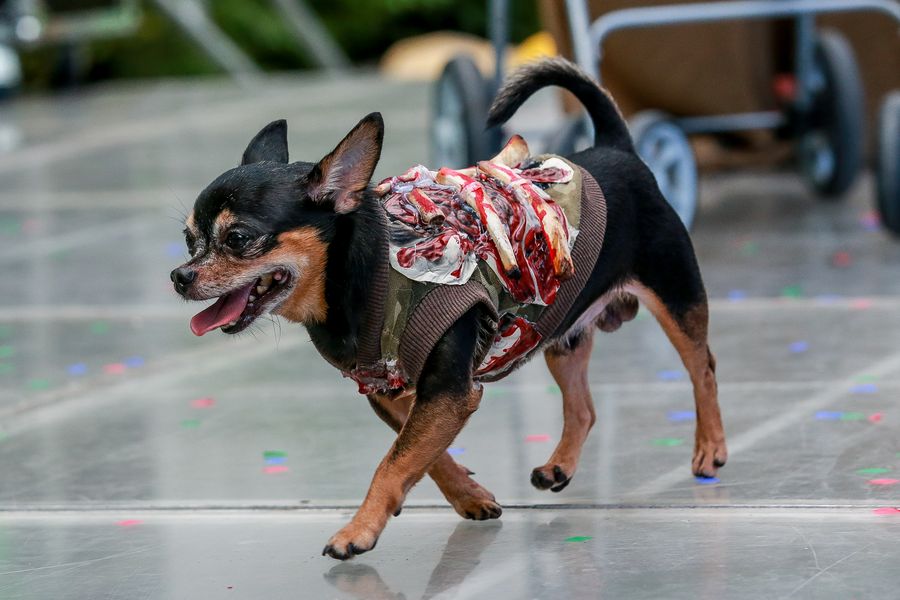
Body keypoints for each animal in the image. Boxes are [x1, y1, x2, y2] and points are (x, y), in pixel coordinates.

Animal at [171, 57, 727, 560]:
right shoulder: (397, 394)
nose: (179, 276)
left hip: (676, 299)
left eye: (238, 238)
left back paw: (711, 447)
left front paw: (357, 531)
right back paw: (561, 465)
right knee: (584, 408)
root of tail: (615, 148)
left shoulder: (449, 392)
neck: (363, 274)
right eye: (190, 239)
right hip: (558, 331)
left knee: (703, 367)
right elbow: (420, 454)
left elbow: (392, 462)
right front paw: (469, 496)